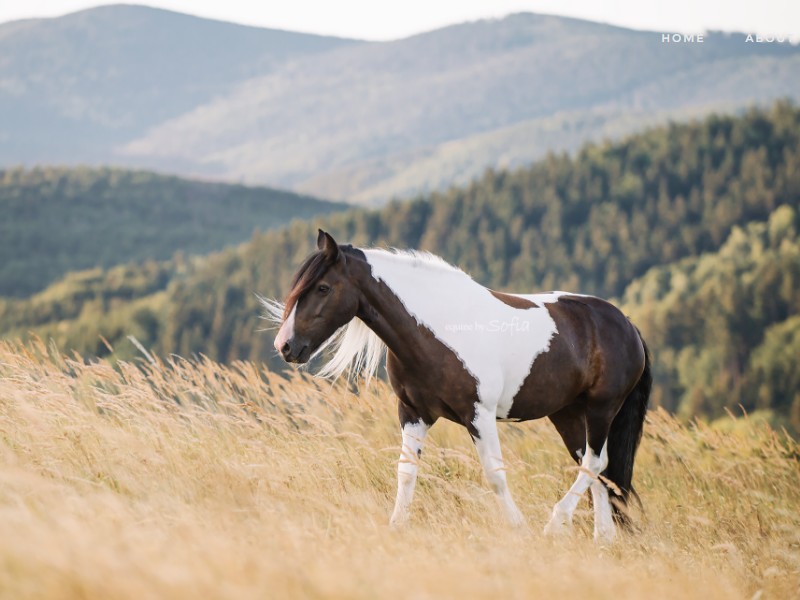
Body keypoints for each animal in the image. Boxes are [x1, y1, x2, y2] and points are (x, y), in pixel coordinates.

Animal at [264, 230, 648, 544]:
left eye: (323, 288)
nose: (285, 346)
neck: (440, 328)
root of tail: (625, 322)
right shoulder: (413, 413)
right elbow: (406, 472)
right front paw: (396, 527)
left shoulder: (479, 416)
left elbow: (495, 475)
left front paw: (518, 528)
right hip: (568, 414)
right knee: (596, 470)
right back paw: (601, 539)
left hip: (601, 409)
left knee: (597, 462)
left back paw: (557, 523)